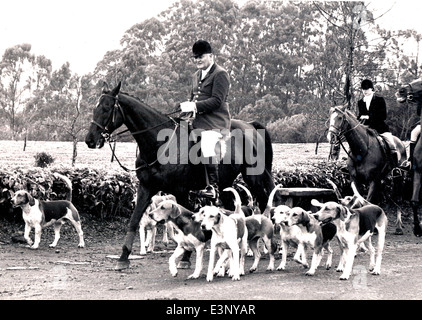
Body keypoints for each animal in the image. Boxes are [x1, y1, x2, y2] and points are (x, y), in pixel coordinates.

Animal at [85, 83, 276, 270]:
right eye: (94, 108)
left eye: (107, 108)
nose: (90, 140)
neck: (159, 144)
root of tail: (249, 125)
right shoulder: (145, 187)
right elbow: (133, 220)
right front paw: (123, 258)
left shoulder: (181, 190)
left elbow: (188, 221)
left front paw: (185, 257)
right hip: (226, 182)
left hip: (254, 177)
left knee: (265, 202)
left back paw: (269, 247)